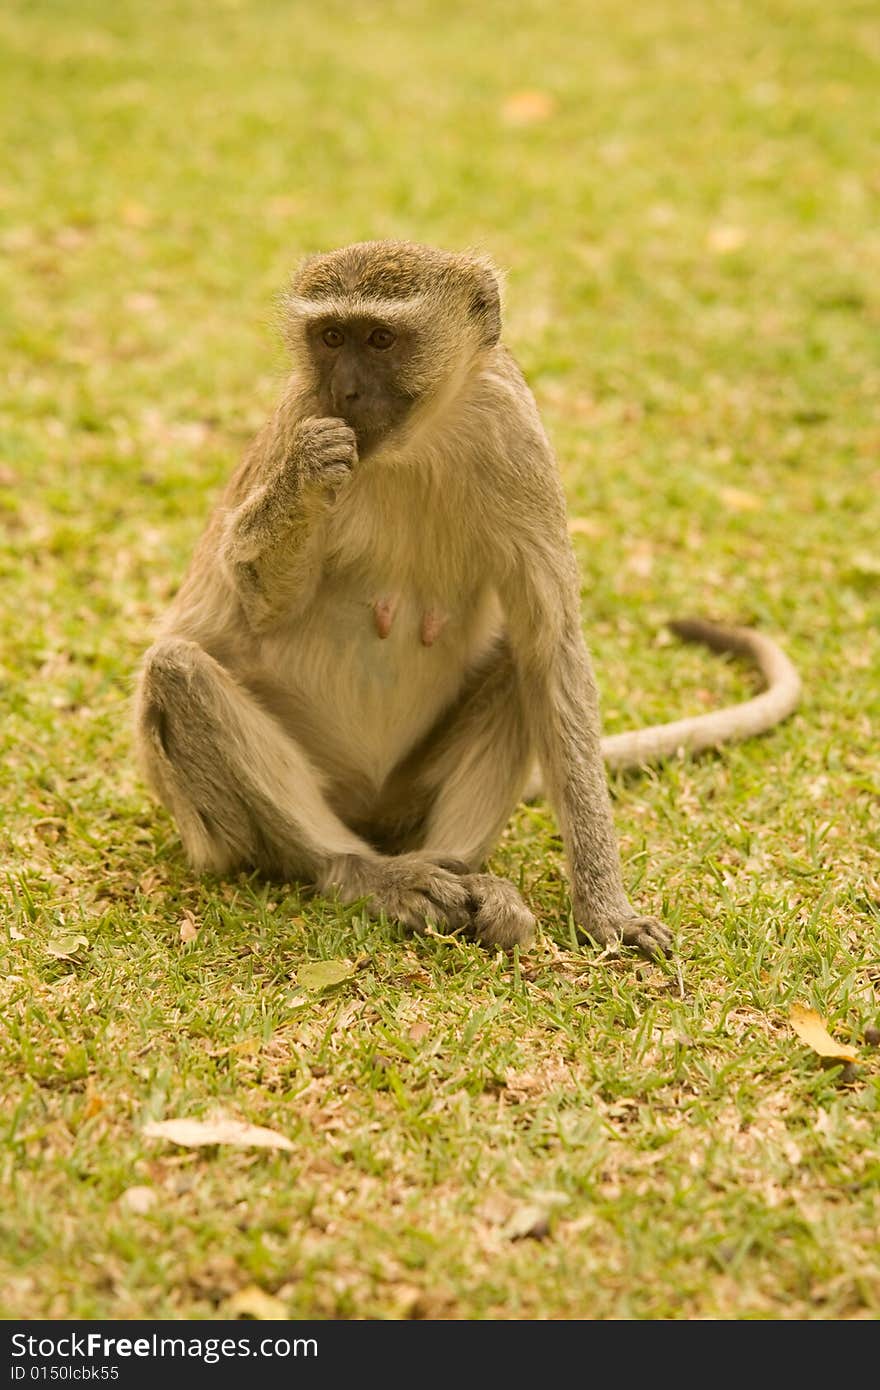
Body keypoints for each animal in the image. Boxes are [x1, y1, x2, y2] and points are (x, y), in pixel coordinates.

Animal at [134, 239, 800, 956]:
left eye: (380, 338)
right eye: (332, 337)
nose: (346, 391)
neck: (417, 440)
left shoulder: (515, 428)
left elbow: (552, 643)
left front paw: (605, 909)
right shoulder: (300, 414)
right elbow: (258, 608)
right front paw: (303, 477)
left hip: (407, 799)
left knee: (521, 661)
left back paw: (463, 877)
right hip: (227, 824)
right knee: (178, 671)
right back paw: (368, 874)